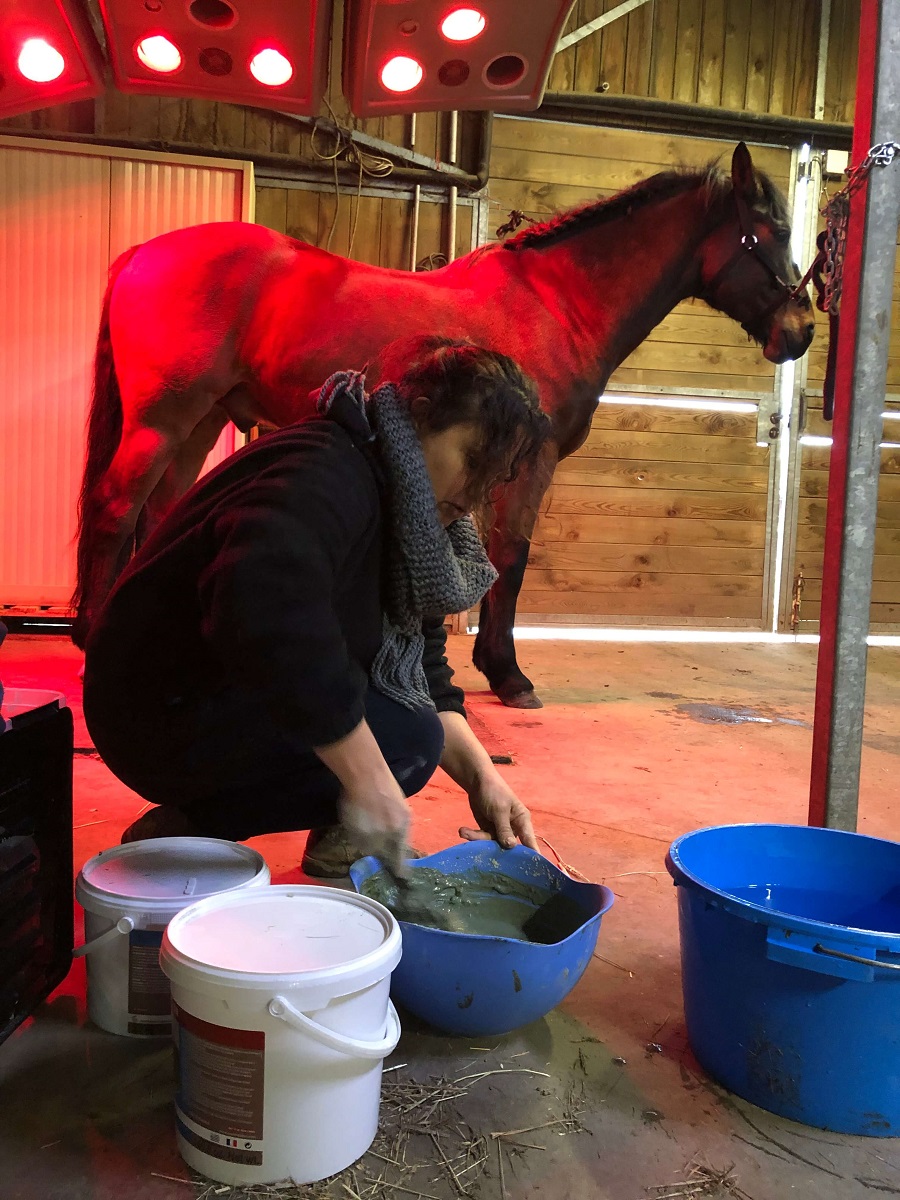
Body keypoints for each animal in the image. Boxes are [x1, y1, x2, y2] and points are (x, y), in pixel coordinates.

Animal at [74, 141, 816, 705]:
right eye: (769, 235)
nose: (802, 331)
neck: (554, 306)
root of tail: (140, 253)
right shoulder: (530, 461)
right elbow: (510, 557)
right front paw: (509, 675)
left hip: (200, 423)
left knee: (161, 510)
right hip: (164, 418)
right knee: (115, 507)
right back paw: (87, 635)